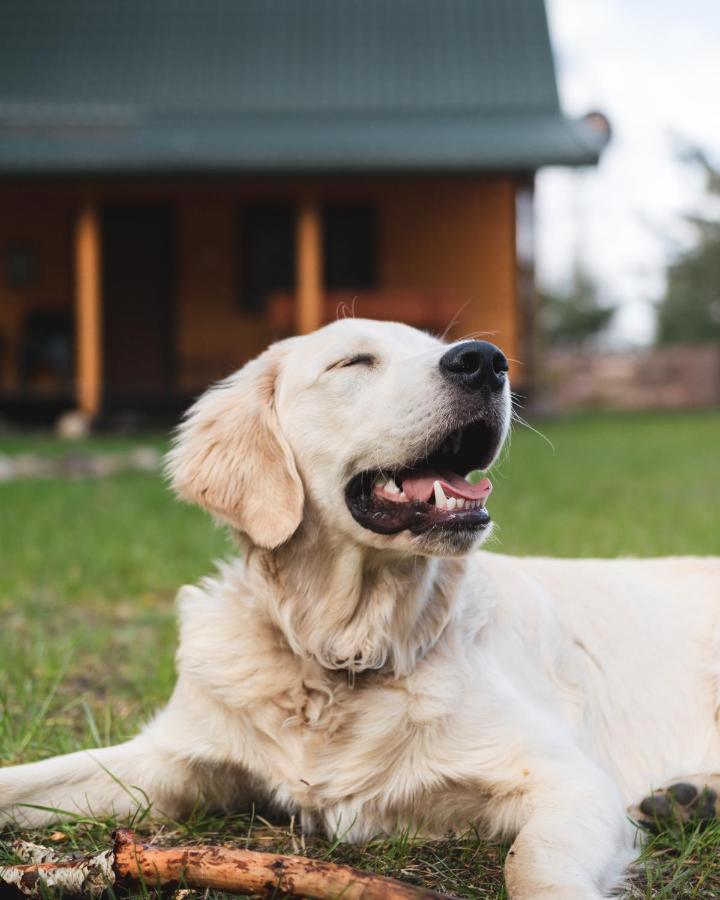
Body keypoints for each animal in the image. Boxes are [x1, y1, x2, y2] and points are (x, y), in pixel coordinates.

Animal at [1, 320, 720, 896]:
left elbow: (532, 864)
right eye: (353, 362)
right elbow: (22, 781)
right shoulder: (170, 761)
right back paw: (689, 798)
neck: (342, 654)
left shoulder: (569, 780)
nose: (487, 360)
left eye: (439, 346)